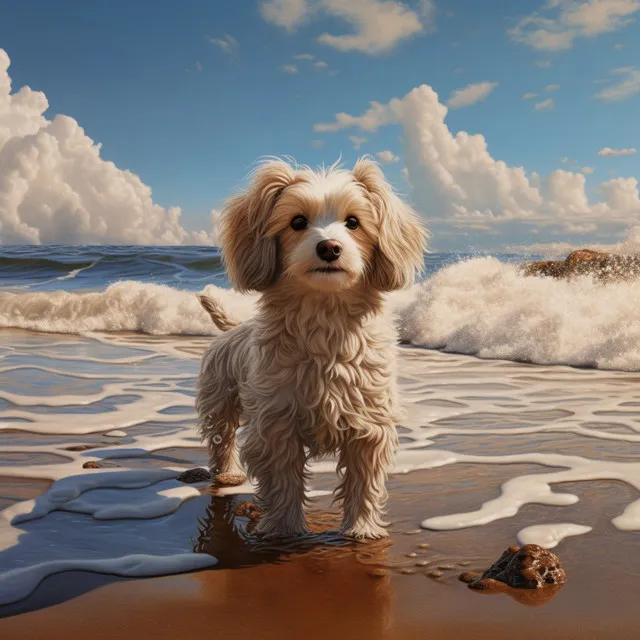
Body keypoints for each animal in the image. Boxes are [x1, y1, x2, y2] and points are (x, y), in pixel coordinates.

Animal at [194, 158, 424, 536]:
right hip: (219, 400)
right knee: (221, 439)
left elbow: (364, 482)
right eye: (298, 222)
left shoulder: (370, 426)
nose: (329, 247)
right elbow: (283, 481)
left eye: (353, 222)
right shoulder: (275, 423)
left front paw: (362, 529)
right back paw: (227, 473)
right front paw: (284, 528)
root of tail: (235, 326)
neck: (324, 316)